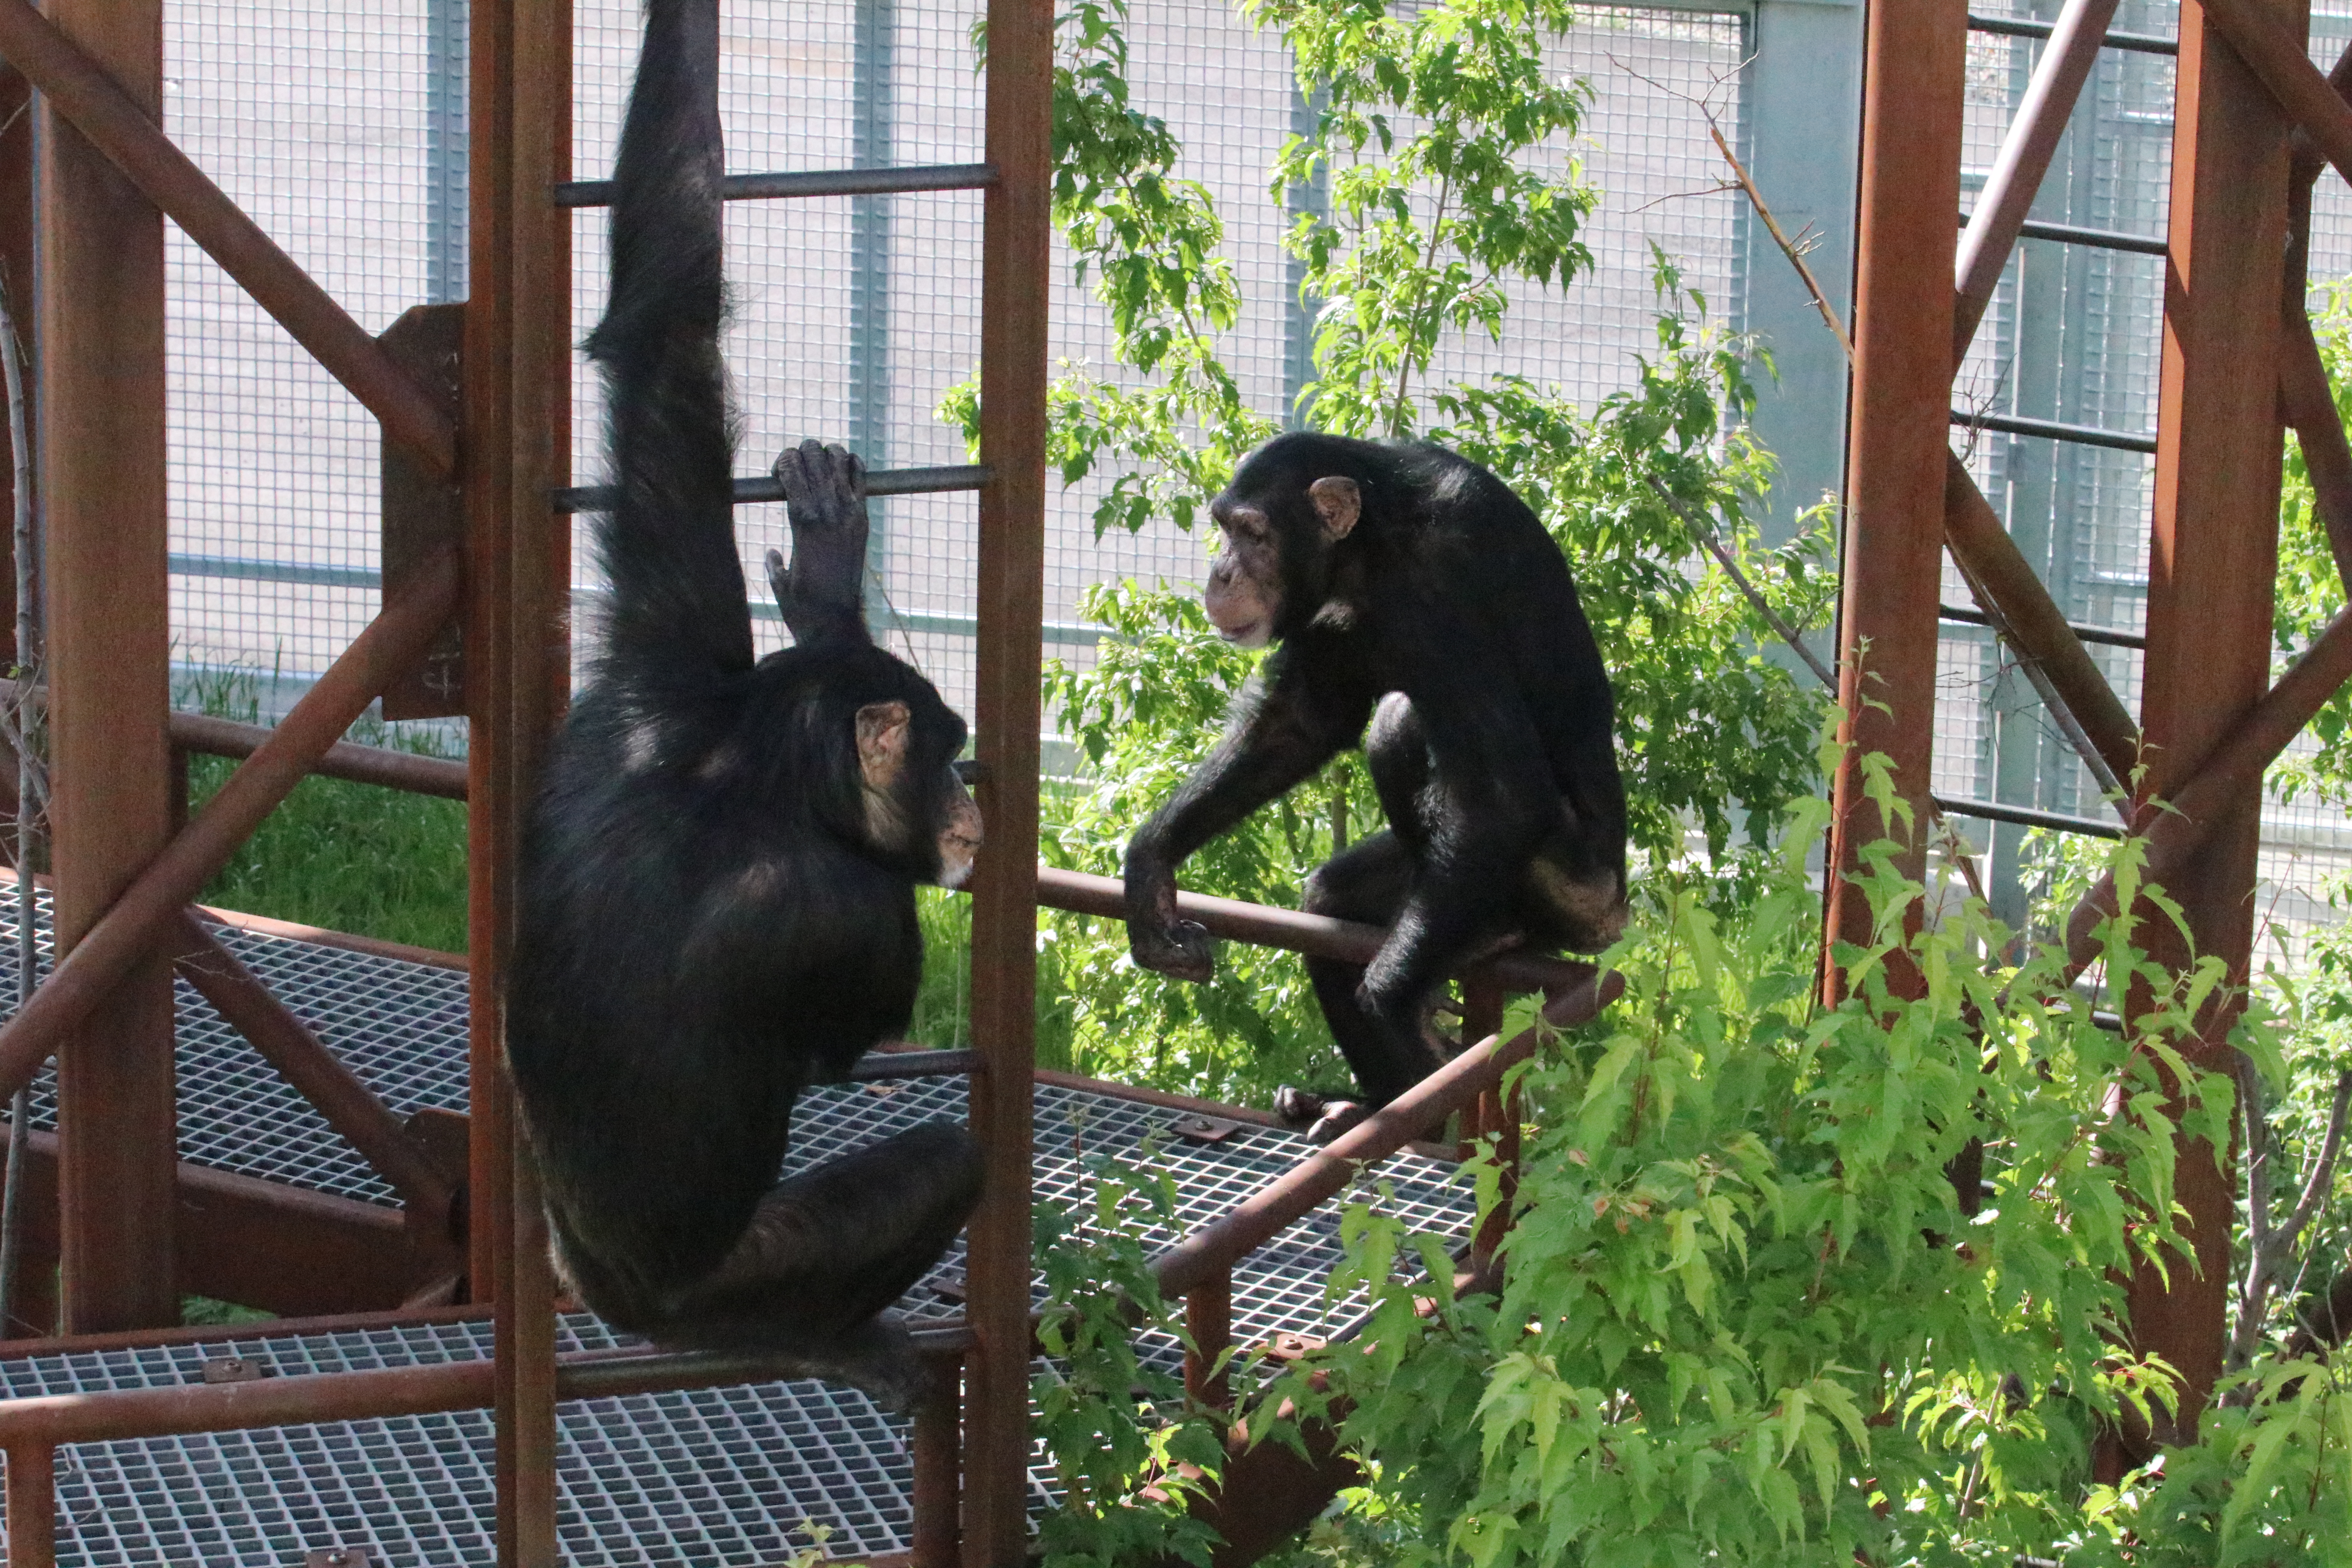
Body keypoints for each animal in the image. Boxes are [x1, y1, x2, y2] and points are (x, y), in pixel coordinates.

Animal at [505, 0, 983, 1408]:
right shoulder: (856, 922)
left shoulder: (659, 664)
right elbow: (848, 1034)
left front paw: (829, 581)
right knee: (940, 1161)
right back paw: (843, 1335)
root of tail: (599, 1294)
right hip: (725, 1286)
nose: (974, 801)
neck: (748, 771)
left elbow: (663, 316)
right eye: (951, 756)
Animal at [1124, 432, 1627, 1141]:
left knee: (1401, 722)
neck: (1369, 548)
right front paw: (1151, 869)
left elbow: (1505, 793)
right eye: (1224, 528)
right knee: (1333, 898)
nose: (1222, 573)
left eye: (1253, 533)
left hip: (1568, 890)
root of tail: (1616, 908)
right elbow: (1301, 720)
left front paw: (1393, 1005)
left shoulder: (1448, 578)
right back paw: (1370, 1103)